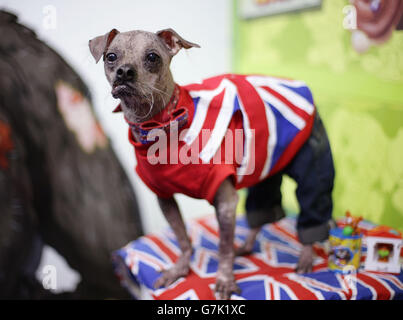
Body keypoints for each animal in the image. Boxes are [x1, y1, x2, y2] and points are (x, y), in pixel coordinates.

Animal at [90, 28, 336, 300]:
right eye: (111, 57)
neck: (163, 130)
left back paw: (305, 255)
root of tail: (297, 83)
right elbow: (183, 239)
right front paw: (180, 268)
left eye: (152, 57)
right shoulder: (164, 198)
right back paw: (247, 246)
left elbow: (223, 247)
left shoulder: (226, 202)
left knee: (312, 207)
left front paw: (225, 279)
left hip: (311, 166)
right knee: (262, 208)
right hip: (266, 163)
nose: (124, 72)